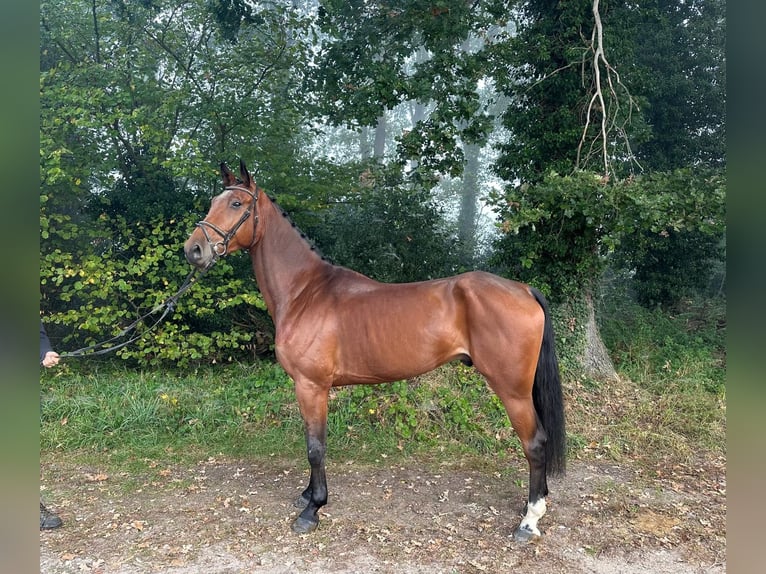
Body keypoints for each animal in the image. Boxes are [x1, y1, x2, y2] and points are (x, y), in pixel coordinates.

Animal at [184, 160, 566, 542]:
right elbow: (311, 442)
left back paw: (529, 521)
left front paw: (313, 509)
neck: (305, 292)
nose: (194, 249)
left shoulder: (311, 386)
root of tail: (523, 289)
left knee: (535, 443)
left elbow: (315, 448)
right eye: (213, 201)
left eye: (236, 204)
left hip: (512, 390)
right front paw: (307, 495)